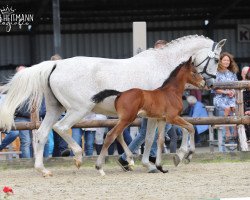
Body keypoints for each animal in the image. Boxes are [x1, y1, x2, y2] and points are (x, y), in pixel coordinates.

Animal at [0, 34, 226, 177]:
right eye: (215, 60)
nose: (210, 85)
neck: (164, 68)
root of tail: (56, 64)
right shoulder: (155, 116)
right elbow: (153, 137)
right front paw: (163, 161)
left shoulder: (154, 116)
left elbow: (156, 138)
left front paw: (161, 161)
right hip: (78, 110)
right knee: (62, 128)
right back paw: (79, 157)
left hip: (56, 109)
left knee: (41, 134)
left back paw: (43, 170)